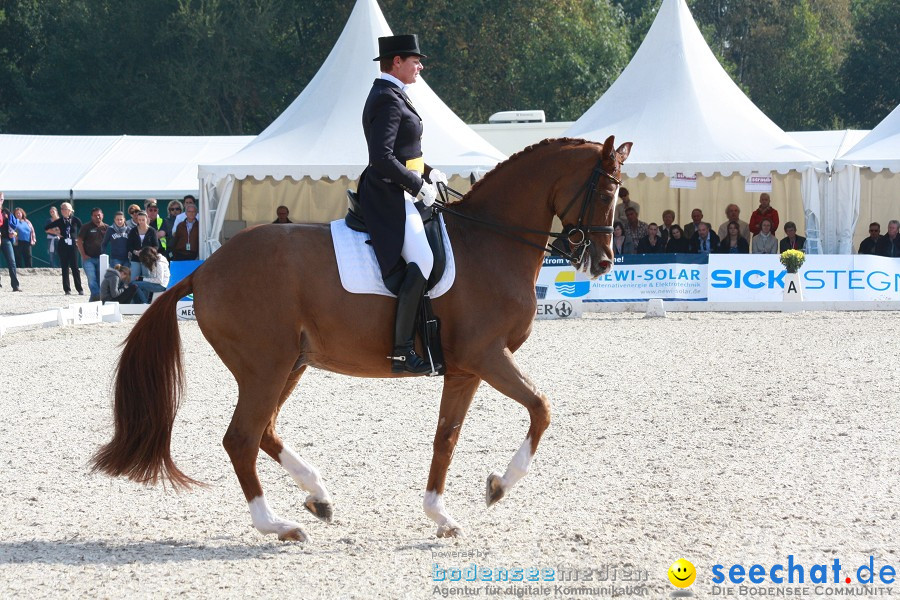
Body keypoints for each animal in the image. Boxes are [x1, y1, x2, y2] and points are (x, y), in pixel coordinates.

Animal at [89, 136, 624, 540]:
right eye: (605, 193)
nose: (602, 262)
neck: (490, 241)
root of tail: (205, 268)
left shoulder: (465, 368)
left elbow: (446, 437)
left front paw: (441, 514)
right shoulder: (488, 356)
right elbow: (541, 407)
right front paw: (499, 486)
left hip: (289, 365)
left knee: (264, 432)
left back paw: (318, 497)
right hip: (265, 367)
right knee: (241, 438)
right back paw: (277, 525)